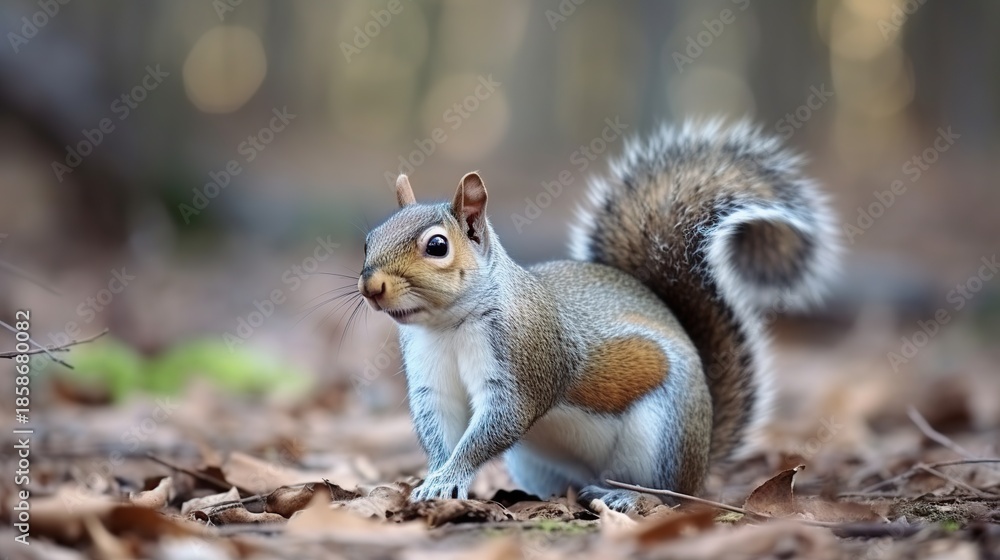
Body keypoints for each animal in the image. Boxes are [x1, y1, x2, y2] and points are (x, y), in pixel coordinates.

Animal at [357, 121, 839, 511]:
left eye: (437, 246)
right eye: (369, 238)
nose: (371, 286)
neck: (447, 326)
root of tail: (701, 464)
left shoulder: (525, 361)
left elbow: (498, 423)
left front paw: (448, 479)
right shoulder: (431, 383)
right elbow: (441, 431)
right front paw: (436, 476)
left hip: (661, 438)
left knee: (668, 497)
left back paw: (626, 497)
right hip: (536, 460)